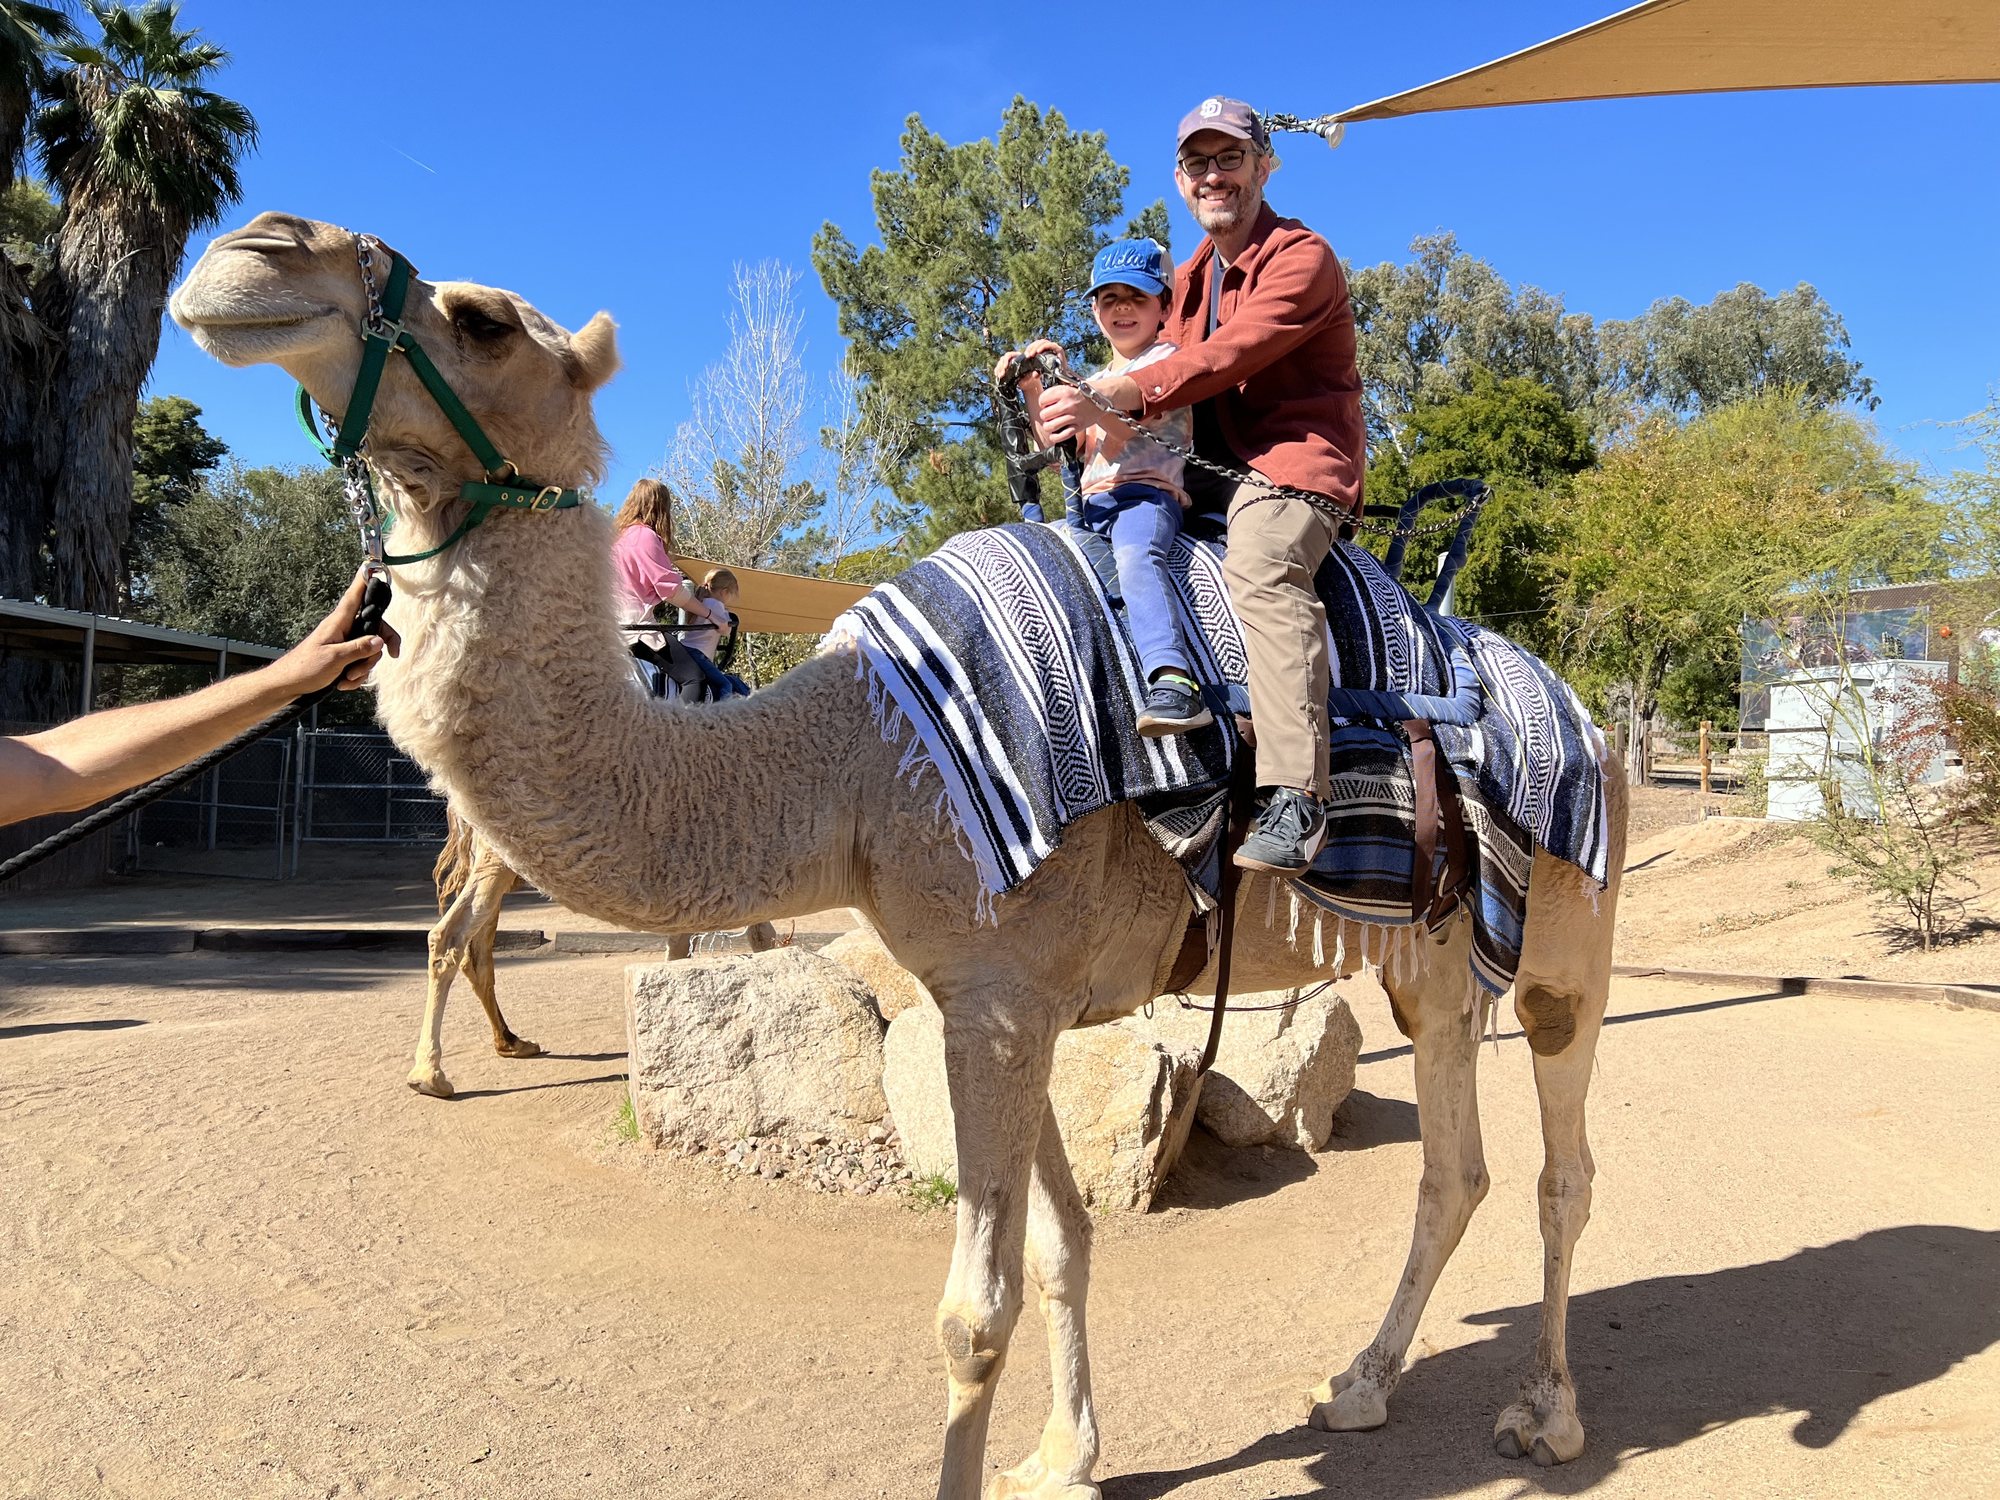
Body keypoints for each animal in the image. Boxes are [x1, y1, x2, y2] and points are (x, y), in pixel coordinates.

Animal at [172, 211, 1629, 1500]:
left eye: (477, 319)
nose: (253, 251)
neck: (863, 758)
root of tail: (1580, 714)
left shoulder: (998, 998)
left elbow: (970, 1312)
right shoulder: (1001, 999)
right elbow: (1061, 1243)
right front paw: (1064, 1458)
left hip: (1566, 942)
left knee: (1562, 1169)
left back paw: (1549, 1416)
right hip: (1429, 964)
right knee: (1454, 1168)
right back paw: (1362, 1384)